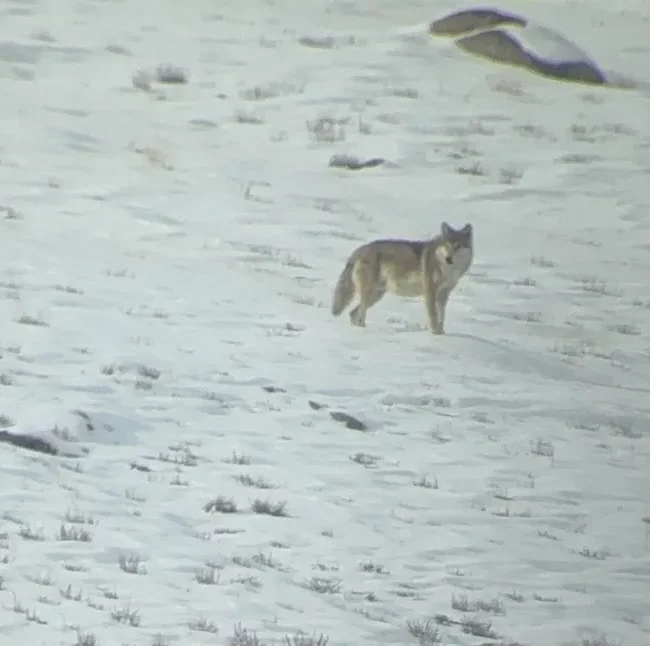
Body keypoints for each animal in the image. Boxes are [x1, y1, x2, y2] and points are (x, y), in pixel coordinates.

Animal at [331, 222, 473, 334]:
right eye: (447, 245)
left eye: (458, 246)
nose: (449, 259)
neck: (447, 270)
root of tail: (358, 250)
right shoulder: (430, 293)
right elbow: (433, 316)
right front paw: (435, 334)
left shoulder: (444, 294)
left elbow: (441, 317)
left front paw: (441, 334)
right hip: (370, 294)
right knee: (358, 313)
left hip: (376, 296)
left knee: (353, 313)